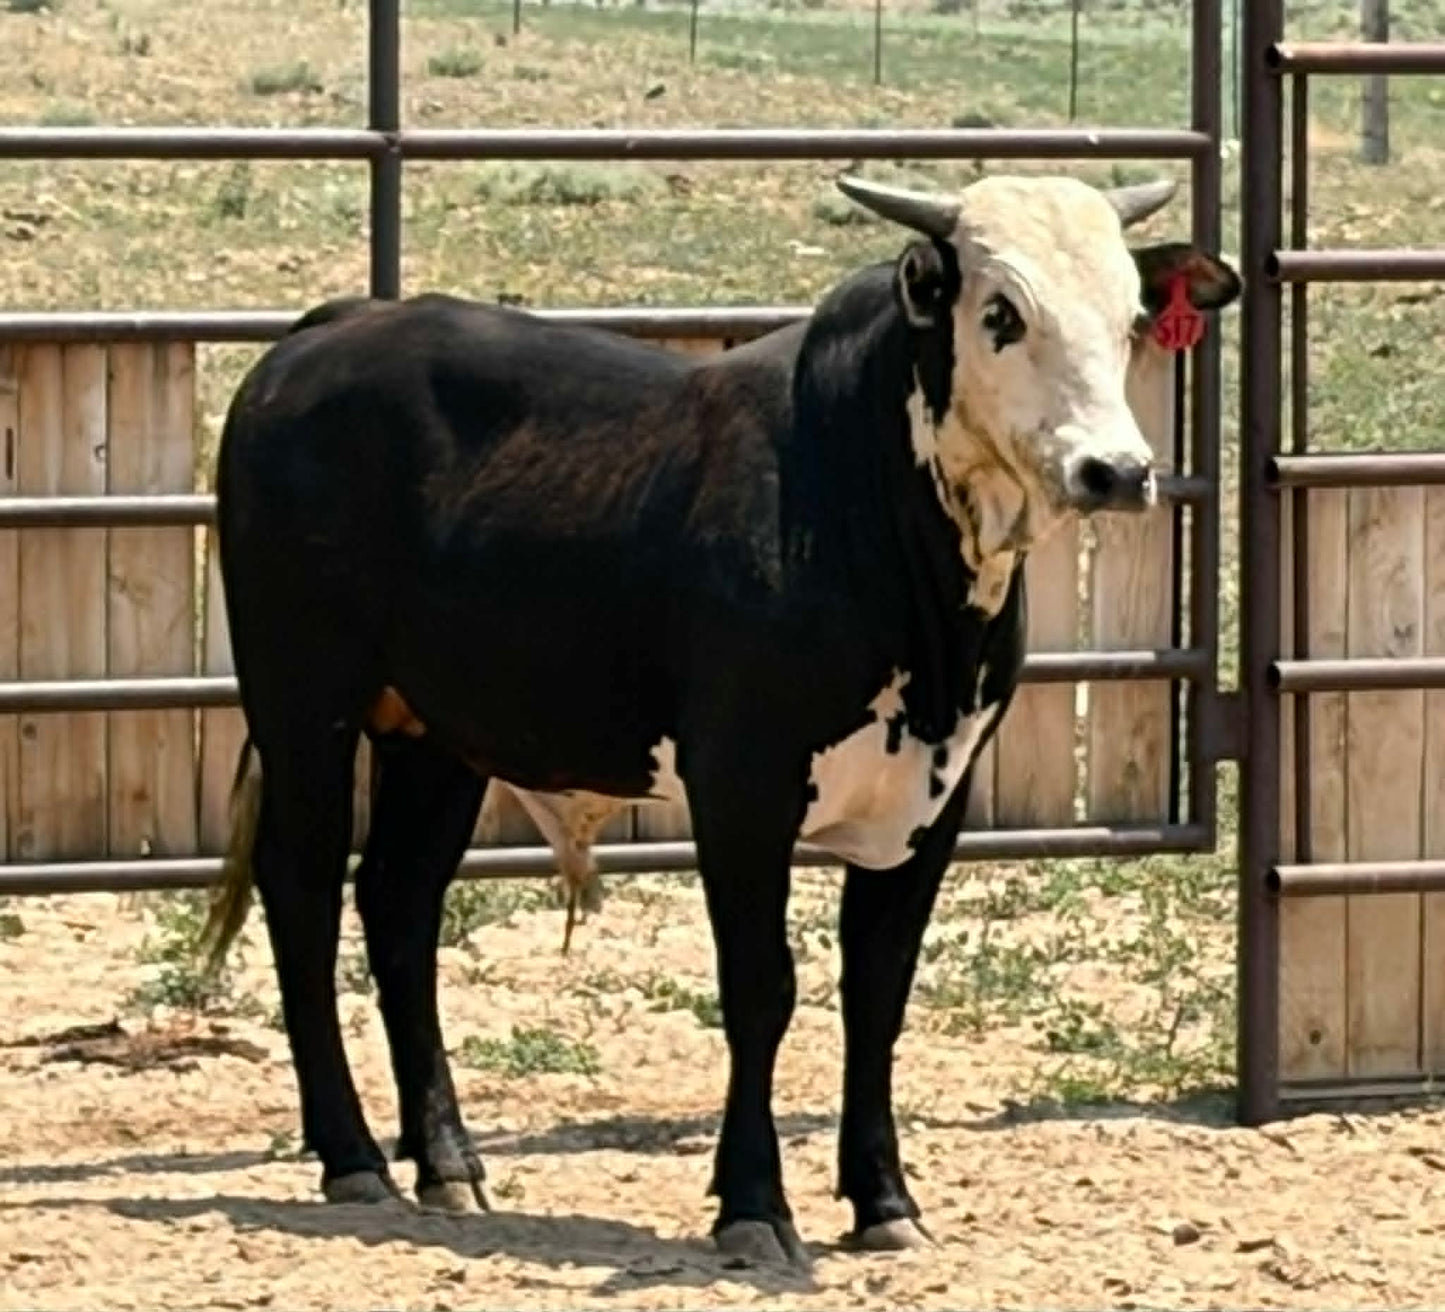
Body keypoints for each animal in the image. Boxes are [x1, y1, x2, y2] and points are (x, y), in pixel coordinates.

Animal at [199, 170, 1240, 1267]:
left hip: (438, 735)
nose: (1114, 471)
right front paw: (753, 1203)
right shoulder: (741, 789)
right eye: (1000, 311)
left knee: (399, 902)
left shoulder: (934, 795)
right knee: (303, 889)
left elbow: (877, 993)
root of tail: (335, 329)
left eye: (1129, 316)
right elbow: (760, 987)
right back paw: (351, 1154)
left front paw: (884, 1199)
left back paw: (446, 1161)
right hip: (303, 702)